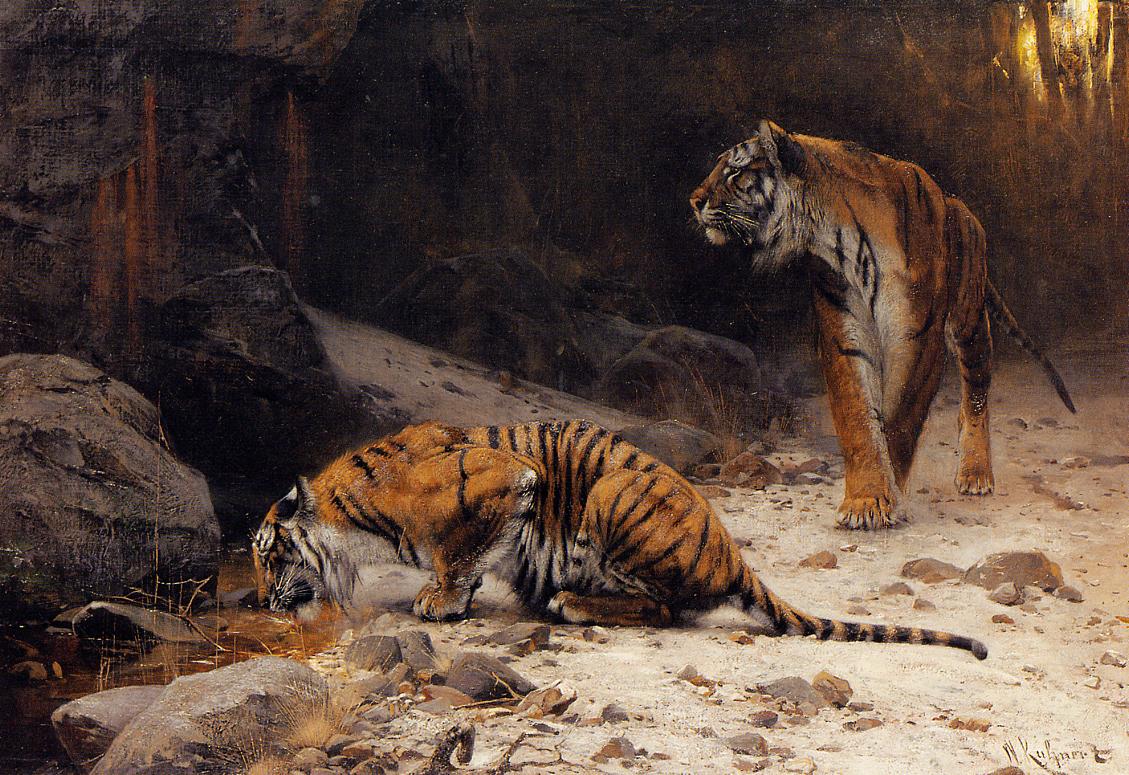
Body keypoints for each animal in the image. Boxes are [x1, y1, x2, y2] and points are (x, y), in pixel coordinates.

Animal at [253, 419, 987, 659]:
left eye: (267, 556)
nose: (260, 603)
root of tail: (733, 555)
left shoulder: (507, 481)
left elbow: (459, 552)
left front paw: (440, 600)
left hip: (613, 496)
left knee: (662, 608)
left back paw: (570, 602)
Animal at [690, 120, 1075, 530]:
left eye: (735, 172)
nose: (694, 201)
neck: (838, 240)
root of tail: (958, 205)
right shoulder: (844, 336)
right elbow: (858, 418)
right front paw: (864, 499)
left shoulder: (918, 338)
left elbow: (902, 418)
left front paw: (890, 496)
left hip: (970, 326)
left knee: (975, 397)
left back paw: (975, 473)